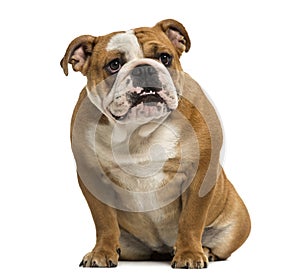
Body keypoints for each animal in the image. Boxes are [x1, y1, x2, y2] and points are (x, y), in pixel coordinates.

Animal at [61, 18, 251, 268]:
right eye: (114, 65)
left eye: (165, 57)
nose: (144, 68)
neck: (139, 131)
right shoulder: (92, 177)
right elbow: (104, 221)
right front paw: (101, 252)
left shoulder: (200, 173)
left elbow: (191, 219)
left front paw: (189, 253)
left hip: (236, 225)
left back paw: (204, 250)